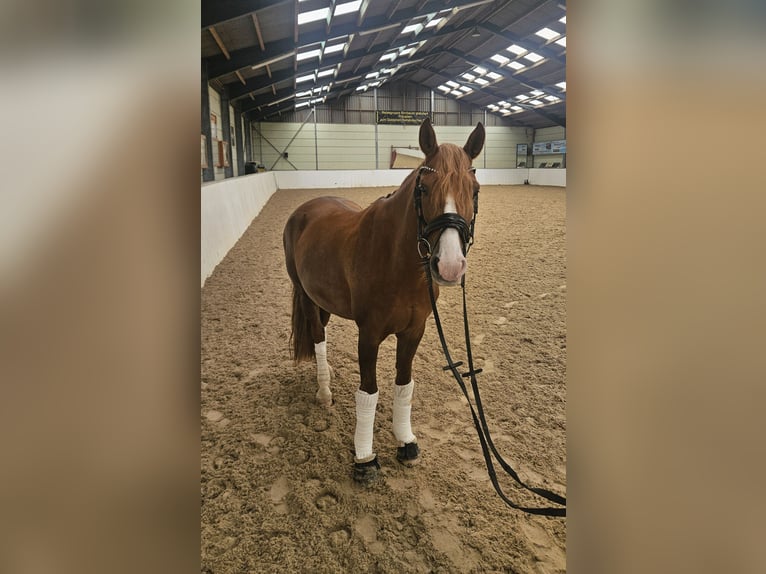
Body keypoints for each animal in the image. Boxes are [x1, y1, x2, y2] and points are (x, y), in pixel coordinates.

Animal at [283, 118, 485, 481]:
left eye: (474, 191)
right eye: (424, 189)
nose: (449, 265)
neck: (397, 262)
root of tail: (305, 209)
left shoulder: (414, 331)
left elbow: (404, 384)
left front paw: (405, 441)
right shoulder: (370, 333)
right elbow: (369, 392)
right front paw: (365, 457)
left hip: (324, 301)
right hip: (305, 296)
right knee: (317, 339)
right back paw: (324, 391)